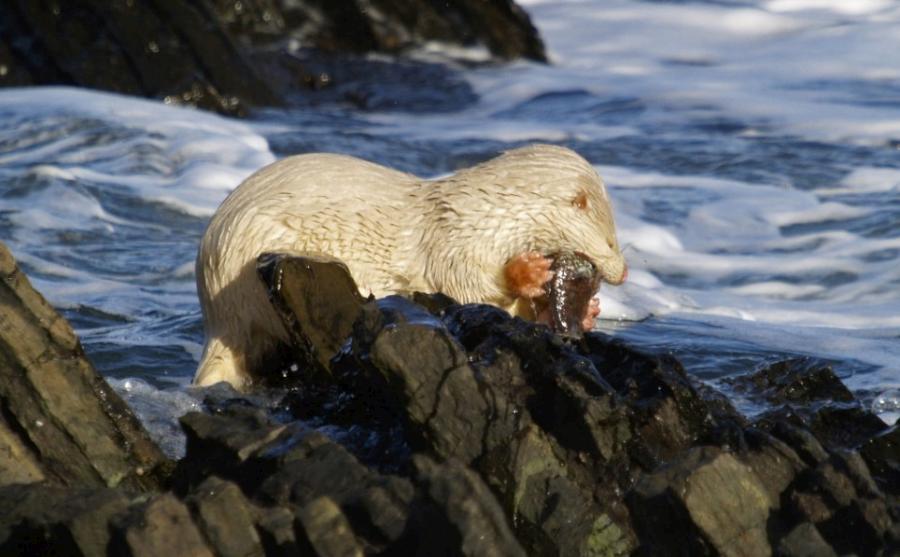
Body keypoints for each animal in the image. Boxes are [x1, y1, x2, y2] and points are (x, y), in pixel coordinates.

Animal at [194, 144, 627, 389]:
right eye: (610, 240)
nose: (623, 272)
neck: (489, 217)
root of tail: (216, 313)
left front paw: (589, 312)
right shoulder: (452, 244)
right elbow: (464, 286)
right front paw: (527, 272)